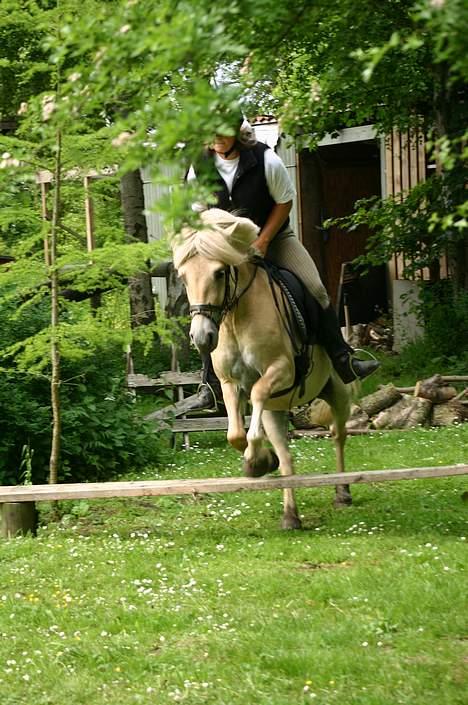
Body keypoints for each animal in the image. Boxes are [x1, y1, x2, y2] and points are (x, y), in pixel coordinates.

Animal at [172, 209, 352, 528]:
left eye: (219, 273)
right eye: (183, 276)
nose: (202, 337)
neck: (236, 316)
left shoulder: (282, 370)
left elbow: (256, 394)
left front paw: (256, 459)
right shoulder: (229, 383)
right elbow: (235, 434)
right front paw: (261, 461)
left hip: (338, 392)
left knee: (338, 434)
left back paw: (342, 492)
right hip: (275, 411)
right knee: (288, 457)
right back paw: (290, 515)